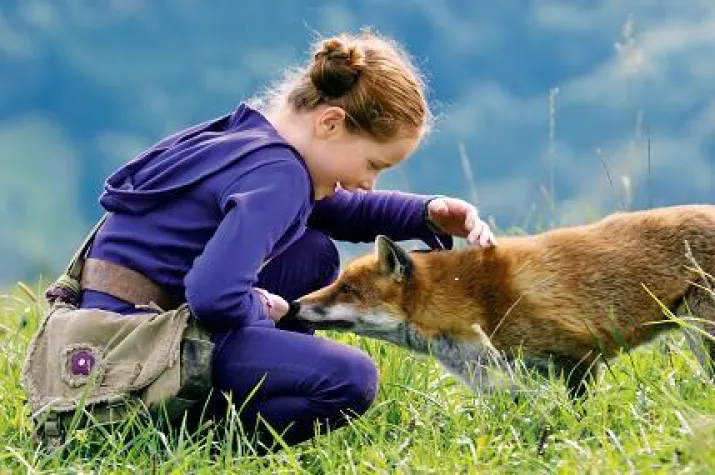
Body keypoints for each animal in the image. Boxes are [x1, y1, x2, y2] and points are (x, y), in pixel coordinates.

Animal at [292, 204, 715, 398]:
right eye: (339, 282)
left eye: (348, 288)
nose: (294, 305)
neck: (473, 300)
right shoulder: (502, 386)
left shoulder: (577, 358)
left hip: (701, 332)